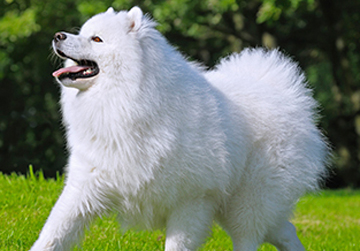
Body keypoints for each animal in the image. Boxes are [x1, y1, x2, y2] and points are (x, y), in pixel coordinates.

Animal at [31, 5, 330, 251]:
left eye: (96, 39)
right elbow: (53, 232)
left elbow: (177, 244)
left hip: (247, 202)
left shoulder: (191, 201)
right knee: (285, 231)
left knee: (249, 238)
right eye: (81, 33)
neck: (126, 101)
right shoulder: (86, 185)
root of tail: (283, 94)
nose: (58, 35)